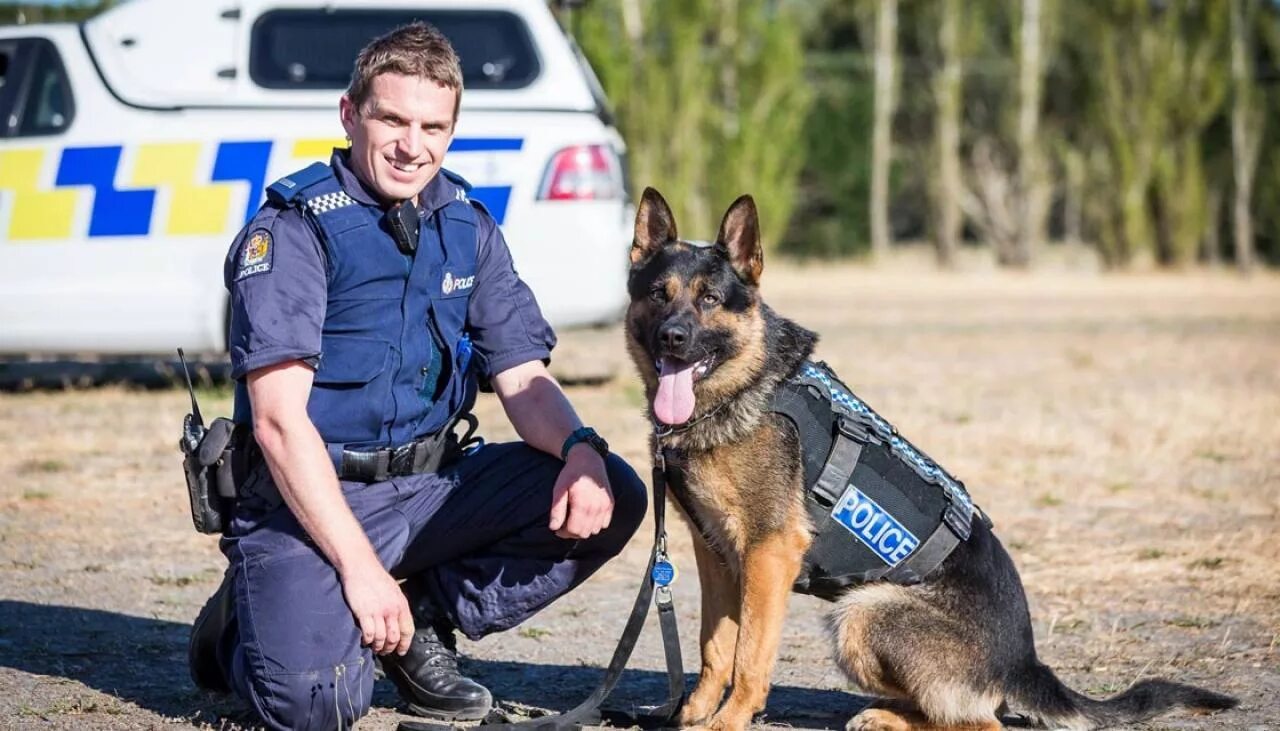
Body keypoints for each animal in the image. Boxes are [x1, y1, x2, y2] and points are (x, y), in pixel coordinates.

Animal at [624, 190, 1233, 731]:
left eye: (709, 299)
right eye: (658, 293)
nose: (673, 337)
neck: (742, 388)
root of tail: (1024, 662)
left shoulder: (769, 554)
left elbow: (749, 656)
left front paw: (728, 721)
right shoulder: (717, 553)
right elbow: (714, 646)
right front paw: (693, 713)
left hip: (862, 613)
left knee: (980, 721)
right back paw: (882, 715)